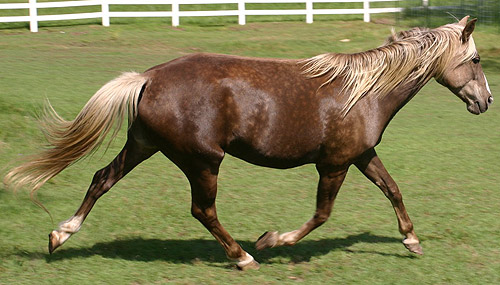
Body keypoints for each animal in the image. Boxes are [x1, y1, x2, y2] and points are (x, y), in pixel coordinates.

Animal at [3, 16, 494, 270]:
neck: (365, 91)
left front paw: (412, 241)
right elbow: (321, 215)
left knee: (101, 179)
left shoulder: (361, 156)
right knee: (203, 210)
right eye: (474, 60)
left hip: (144, 145)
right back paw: (243, 257)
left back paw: (60, 235)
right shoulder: (333, 164)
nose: (486, 101)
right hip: (203, 160)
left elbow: (393, 190)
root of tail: (148, 77)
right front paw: (272, 240)